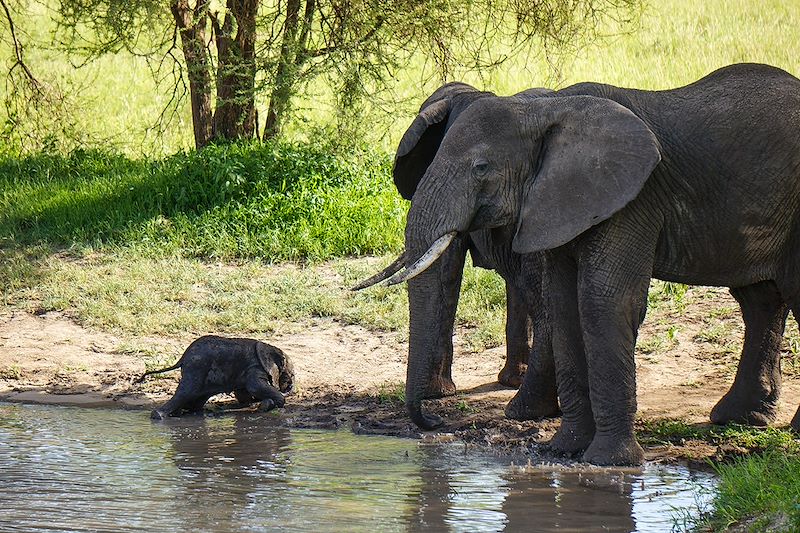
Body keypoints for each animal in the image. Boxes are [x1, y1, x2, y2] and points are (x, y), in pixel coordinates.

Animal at [138, 336, 296, 420]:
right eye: (291, 374)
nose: (290, 387)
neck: (271, 348)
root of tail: (182, 357)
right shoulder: (255, 366)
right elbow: (254, 387)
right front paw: (272, 403)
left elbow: (244, 392)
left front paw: (261, 403)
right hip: (197, 367)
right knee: (186, 392)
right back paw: (158, 416)